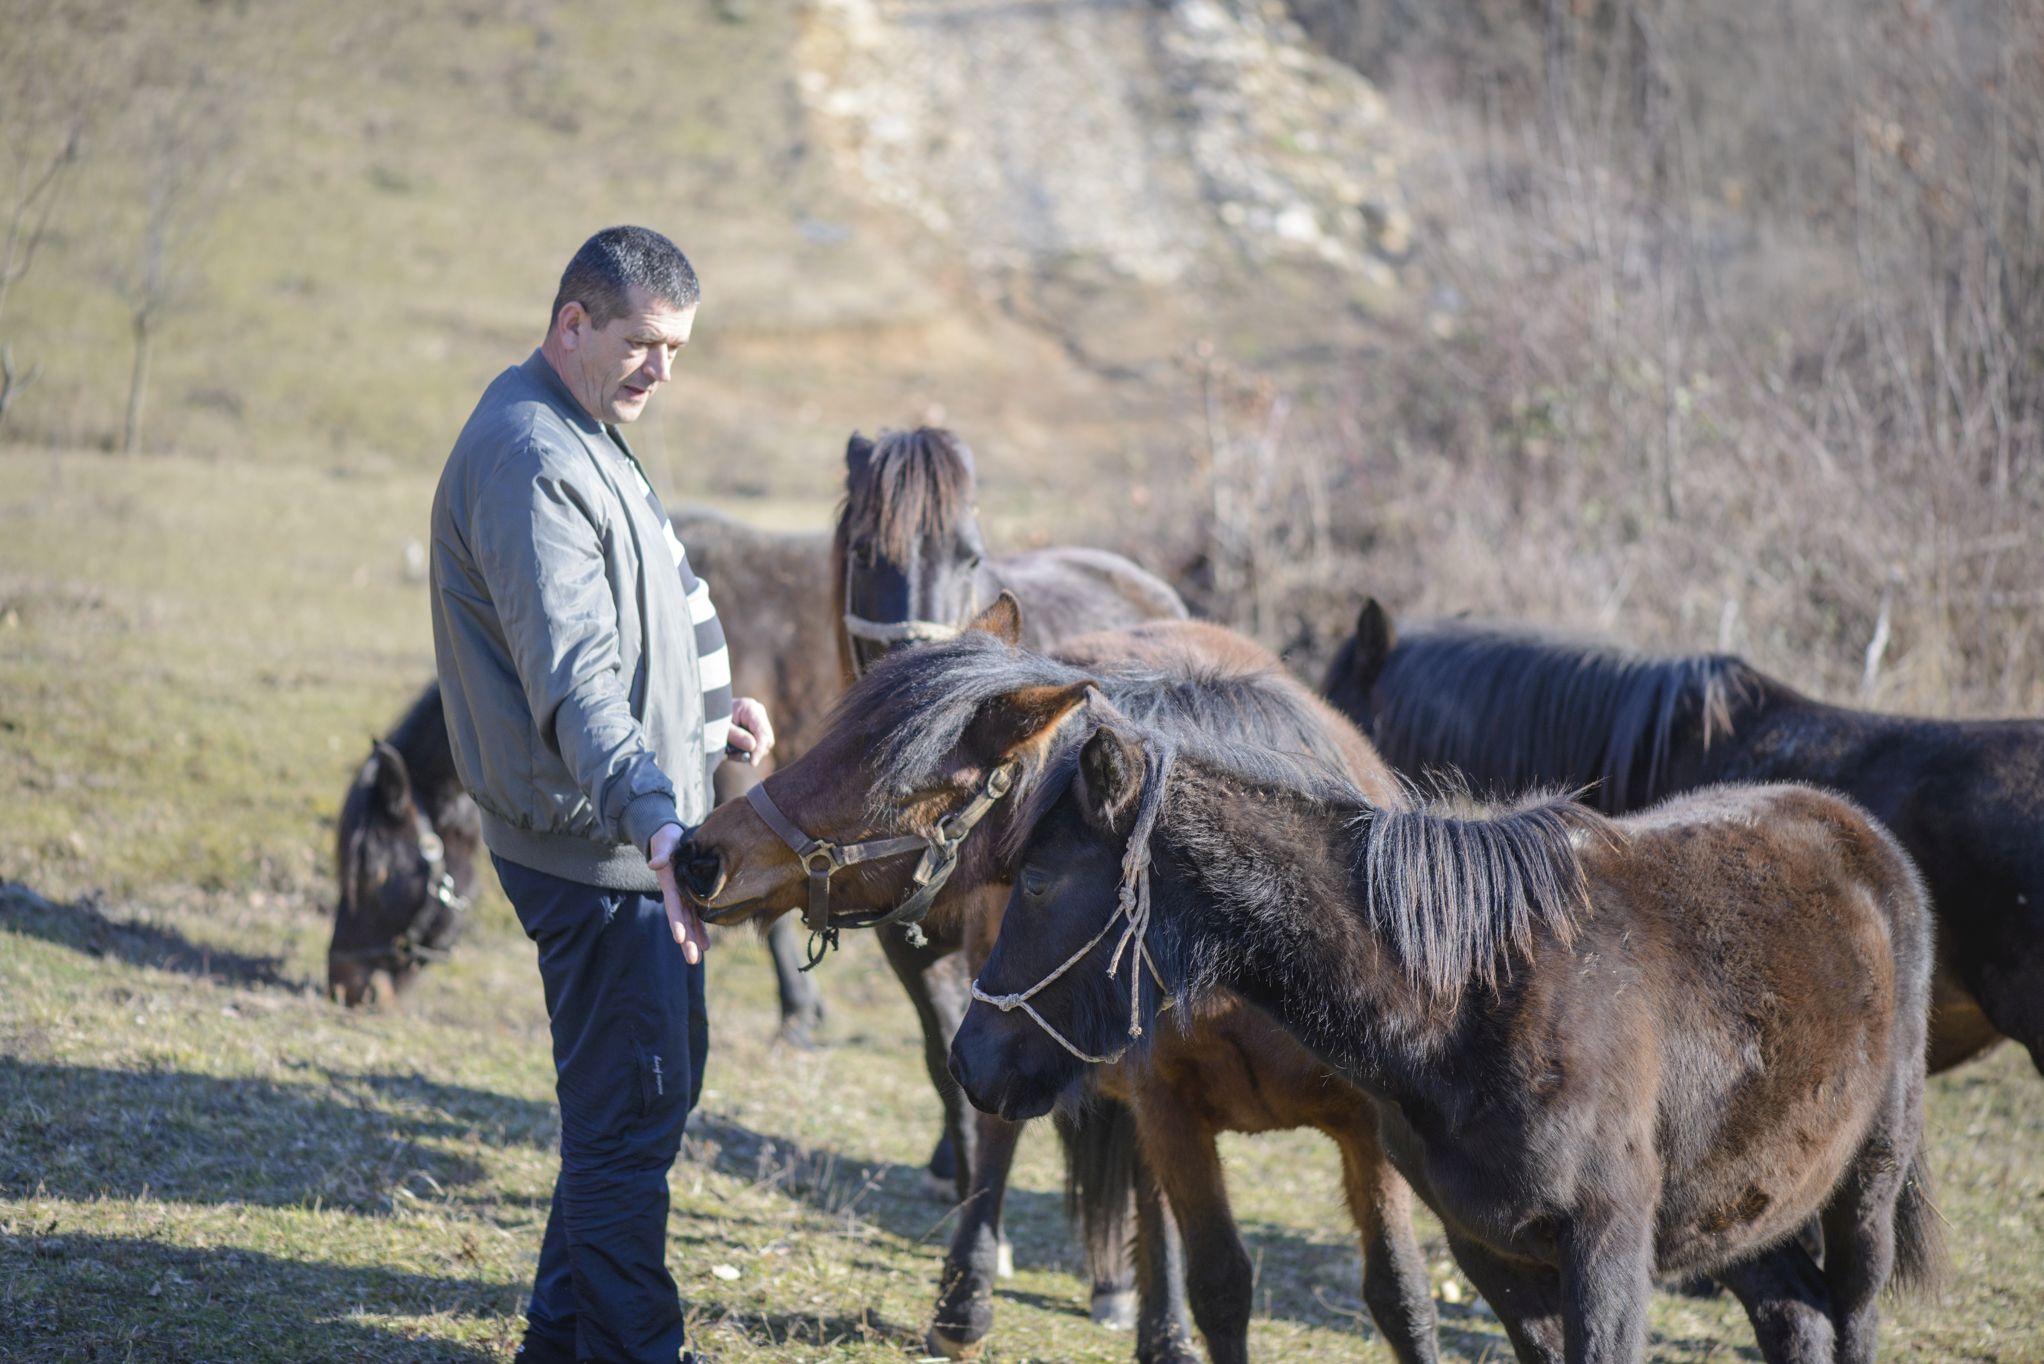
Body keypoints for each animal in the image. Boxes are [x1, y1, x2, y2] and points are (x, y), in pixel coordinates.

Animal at [674, 605, 1438, 1364]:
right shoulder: (1168, 1108)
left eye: (885, 786)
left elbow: (1400, 1296)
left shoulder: (1373, 1133)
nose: (699, 855)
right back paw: (968, 1302)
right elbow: (1220, 1282)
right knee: (998, 1135)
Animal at [948, 715, 1937, 1364]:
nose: (970, 1060)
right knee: (1795, 1316)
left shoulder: (1606, 1250)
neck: (1472, 1003)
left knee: (1851, 1315)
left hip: (1866, 1187)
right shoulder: (1492, 1252)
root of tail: (1862, 833)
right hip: (1739, 1200)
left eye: (1038, 880)